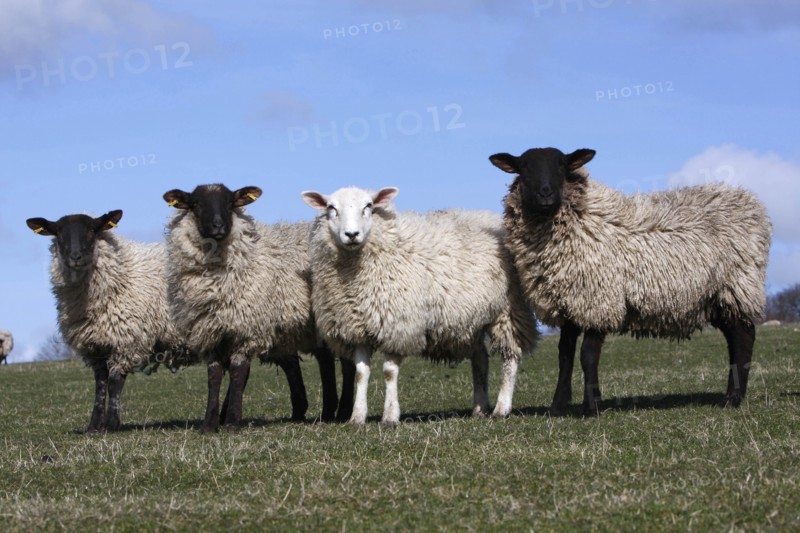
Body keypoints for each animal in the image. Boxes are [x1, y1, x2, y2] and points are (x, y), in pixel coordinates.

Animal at [26, 211, 191, 432]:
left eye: (91, 230)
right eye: (58, 232)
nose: (75, 257)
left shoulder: (126, 342)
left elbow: (114, 383)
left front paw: (111, 425)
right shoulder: (95, 346)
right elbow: (100, 384)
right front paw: (94, 427)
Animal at [163, 184, 353, 433]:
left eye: (230, 203)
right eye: (196, 204)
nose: (218, 226)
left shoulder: (248, 327)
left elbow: (238, 371)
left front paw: (231, 423)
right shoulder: (209, 331)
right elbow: (213, 375)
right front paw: (209, 425)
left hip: (340, 314)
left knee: (347, 363)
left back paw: (344, 412)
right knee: (325, 360)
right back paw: (328, 412)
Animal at [301, 186, 539, 425]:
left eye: (368, 206)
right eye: (331, 208)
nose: (351, 235)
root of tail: (491, 218)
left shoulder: (397, 326)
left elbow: (389, 372)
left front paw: (390, 416)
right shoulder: (357, 329)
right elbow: (361, 373)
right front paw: (357, 417)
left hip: (508, 310)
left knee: (510, 357)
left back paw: (501, 407)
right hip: (472, 319)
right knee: (480, 359)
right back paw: (479, 408)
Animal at [490, 147, 772, 416]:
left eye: (561, 164)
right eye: (525, 166)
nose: (546, 194)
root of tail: (752, 202)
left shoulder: (600, 300)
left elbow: (588, 356)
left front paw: (591, 407)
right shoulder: (569, 301)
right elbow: (565, 355)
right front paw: (558, 407)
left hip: (737, 284)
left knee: (744, 337)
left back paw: (732, 399)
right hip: (714, 298)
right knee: (735, 337)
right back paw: (734, 394)